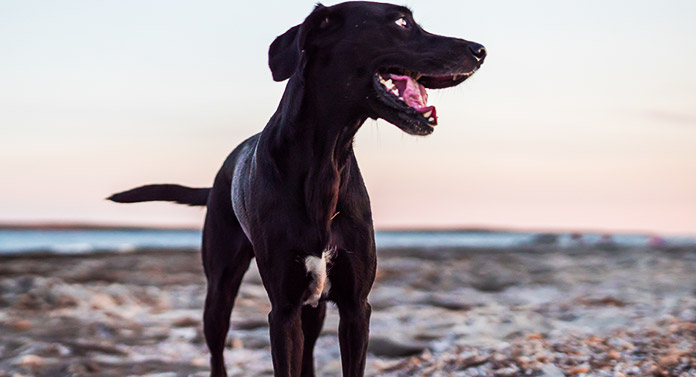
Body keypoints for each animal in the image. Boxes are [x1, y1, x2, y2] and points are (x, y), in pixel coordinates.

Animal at [110, 2, 484, 374]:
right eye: (402, 22)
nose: (480, 50)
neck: (326, 164)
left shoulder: (355, 308)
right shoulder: (284, 310)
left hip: (314, 308)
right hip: (220, 289)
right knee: (217, 351)